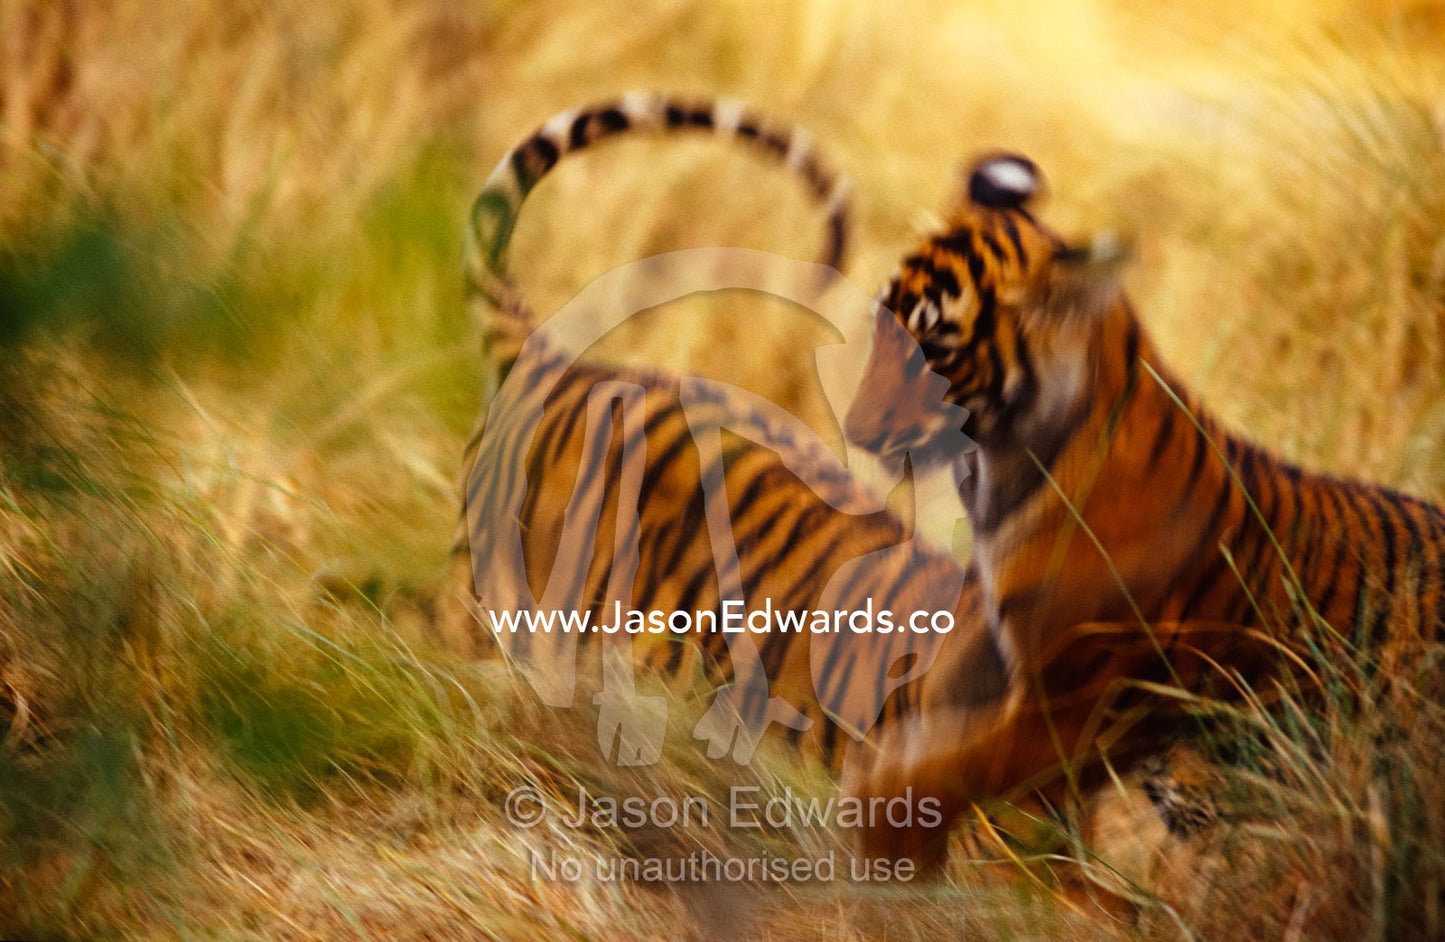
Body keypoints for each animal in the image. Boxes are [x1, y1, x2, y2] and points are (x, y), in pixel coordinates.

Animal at [840, 152, 1445, 864]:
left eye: (934, 349)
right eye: (881, 325)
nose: (855, 432)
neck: (996, 472)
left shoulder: (1071, 705)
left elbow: (953, 771)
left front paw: (887, 835)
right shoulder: (993, 651)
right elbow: (923, 731)